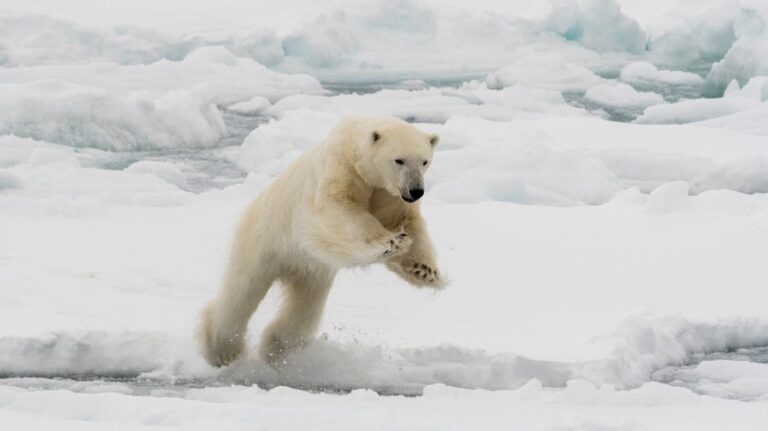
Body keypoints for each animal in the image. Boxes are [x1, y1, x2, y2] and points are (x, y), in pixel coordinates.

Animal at [198, 116, 444, 366]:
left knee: (306, 305)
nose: (416, 190)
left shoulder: (389, 195)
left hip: (312, 270)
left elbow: (407, 221)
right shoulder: (341, 170)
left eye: (424, 161)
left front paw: (425, 270)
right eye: (399, 160)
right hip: (264, 238)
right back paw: (223, 350)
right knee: (243, 290)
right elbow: (340, 210)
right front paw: (390, 243)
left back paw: (276, 347)